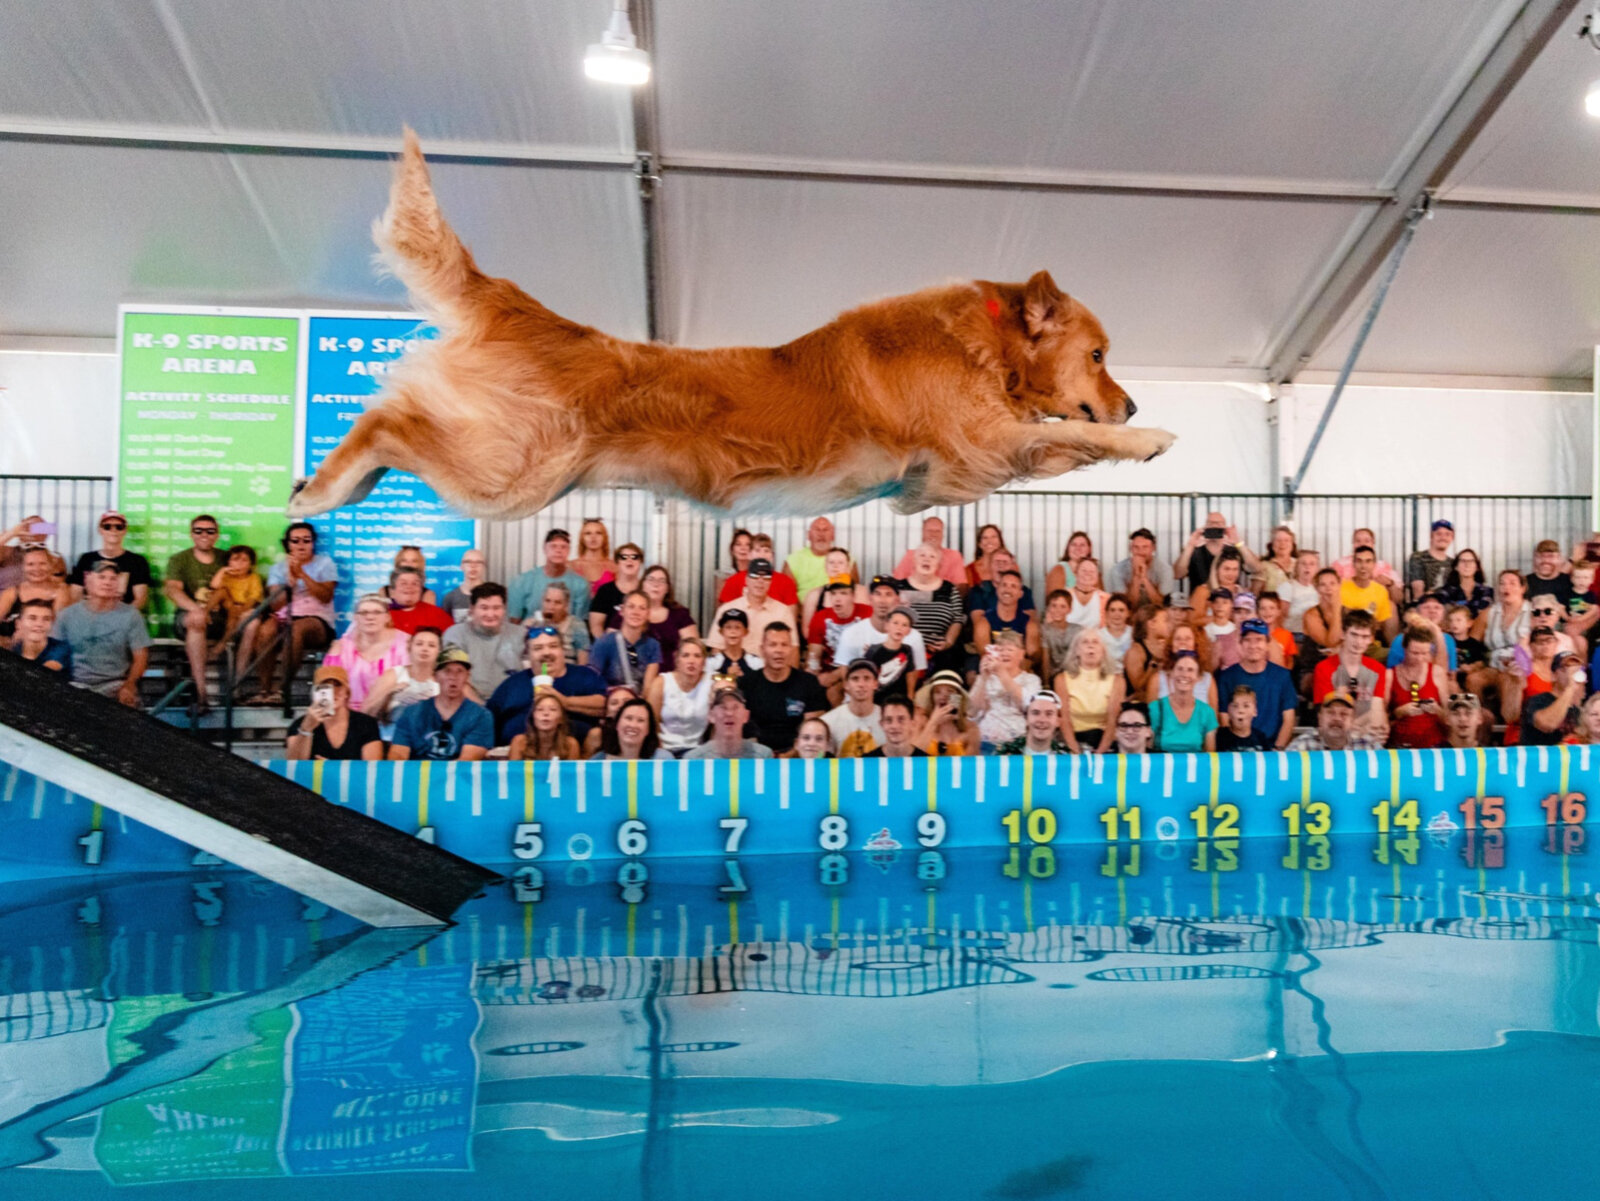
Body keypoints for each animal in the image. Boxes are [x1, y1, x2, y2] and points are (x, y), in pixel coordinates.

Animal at [291, 133, 1177, 524]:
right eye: (1100, 354)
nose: (1135, 401)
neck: (983, 345)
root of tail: (533, 311)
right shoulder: (981, 444)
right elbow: (1078, 438)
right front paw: (1149, 437)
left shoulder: (939, 484)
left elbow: (1061, 443)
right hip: (511, 476)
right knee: (390, 418)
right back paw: (323, 485)